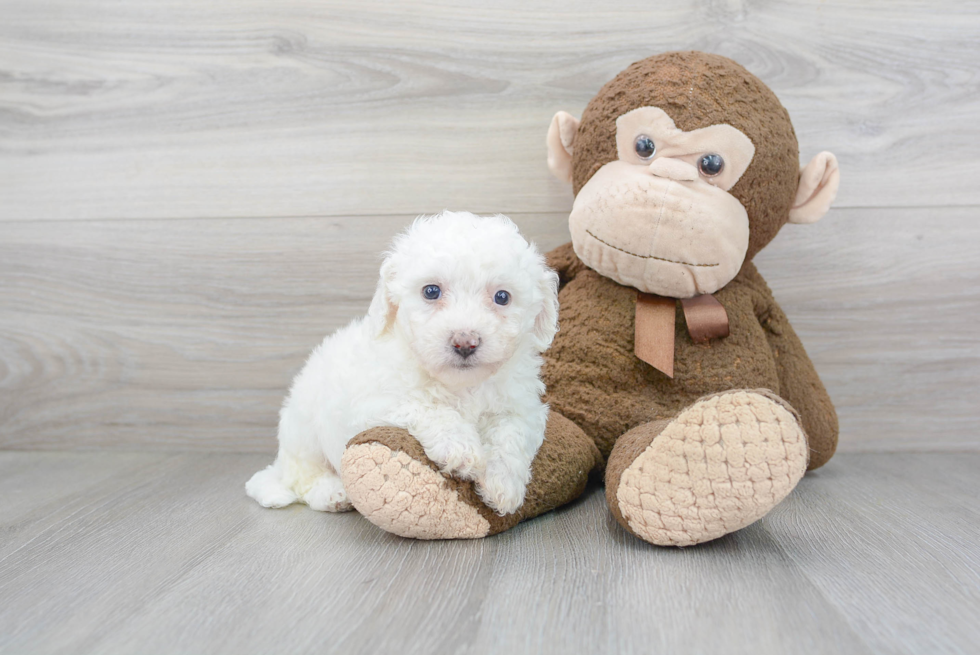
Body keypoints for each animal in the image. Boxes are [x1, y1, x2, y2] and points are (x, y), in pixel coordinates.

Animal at [245, 213, 560, 516]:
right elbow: (427, 408)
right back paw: (332, 493)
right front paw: (460, 448)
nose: (465, 342)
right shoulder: (375, 403)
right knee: (304, 478)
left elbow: (510, 433)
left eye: (502, 297)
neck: (460, 385)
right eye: (431, 291)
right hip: (303, 431)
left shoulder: (521, 407)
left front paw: (503, 485)